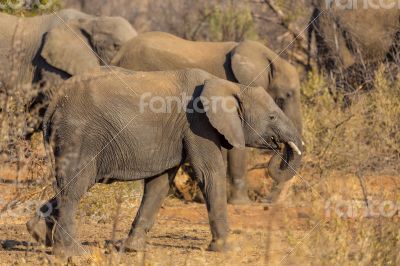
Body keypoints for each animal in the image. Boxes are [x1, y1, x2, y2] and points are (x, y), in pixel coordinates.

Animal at [25, 67, 304, 256]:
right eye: (272, 116)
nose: (278, 148)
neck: (228, 85)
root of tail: (54, 103)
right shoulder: (198, 124)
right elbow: (210, 174)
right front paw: (229, 248)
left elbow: (159, 184)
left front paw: (132, 249)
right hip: (79, 135)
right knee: (75, 187)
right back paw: (72, 254)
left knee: (69, 186)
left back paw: (37, 233)